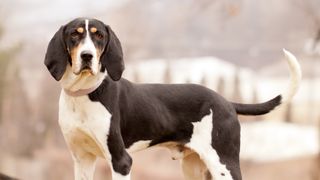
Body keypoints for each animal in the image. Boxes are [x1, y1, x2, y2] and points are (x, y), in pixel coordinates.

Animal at [43, 17, 302, 180]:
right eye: (74, 35)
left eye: (99, 36)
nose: (87, 56)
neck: (85, 94)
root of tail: (226, 102)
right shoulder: (82, 160)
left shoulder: (121, 161)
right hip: (194, 167)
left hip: (223, 163)